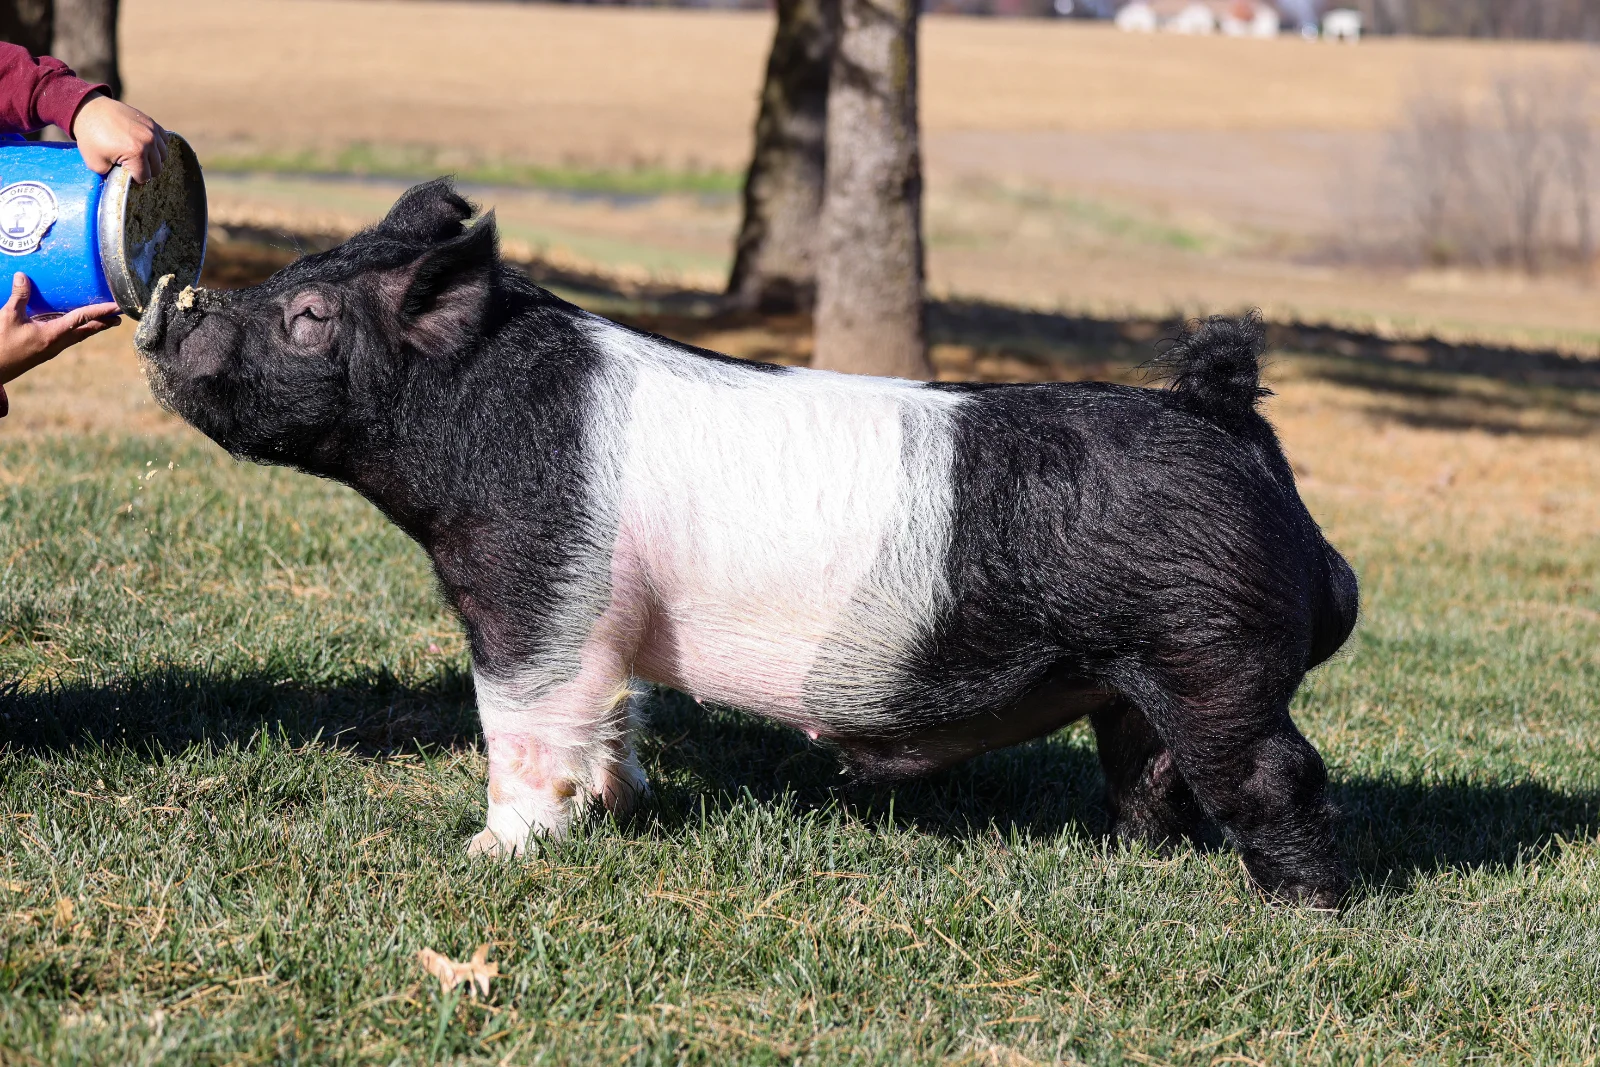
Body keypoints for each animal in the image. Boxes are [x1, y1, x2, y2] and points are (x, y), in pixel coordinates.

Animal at [134, 180, 1358, 906]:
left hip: (1209, 652)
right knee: (1147, 769)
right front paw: (618, 810)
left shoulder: (534, 582)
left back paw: (1298, 908)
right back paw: (1132, 863)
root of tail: (1229, 423)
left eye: (309, 318)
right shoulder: (608, 622)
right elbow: (616, 712)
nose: (168, 308)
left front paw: (488, 853)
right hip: (1142, 673)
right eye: (292, 278)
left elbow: (522, 715)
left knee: (1276, 771)